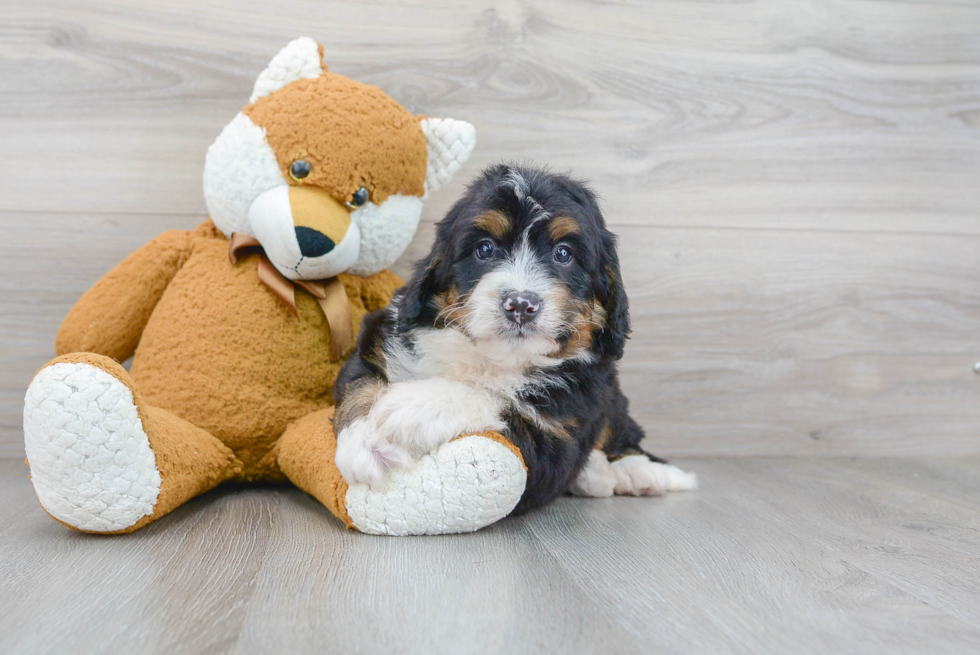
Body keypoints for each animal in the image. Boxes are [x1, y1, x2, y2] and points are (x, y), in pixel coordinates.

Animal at [336, 164, 696, 512]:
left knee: (622, 432)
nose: (521, 304)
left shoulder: (560, 438)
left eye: (563, 254)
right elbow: (359, 385)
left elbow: (501, 401)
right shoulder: (378, 339)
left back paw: (638, 472)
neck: (497, 359)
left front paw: (417, 406)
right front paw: (363, 440)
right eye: (485, 249)